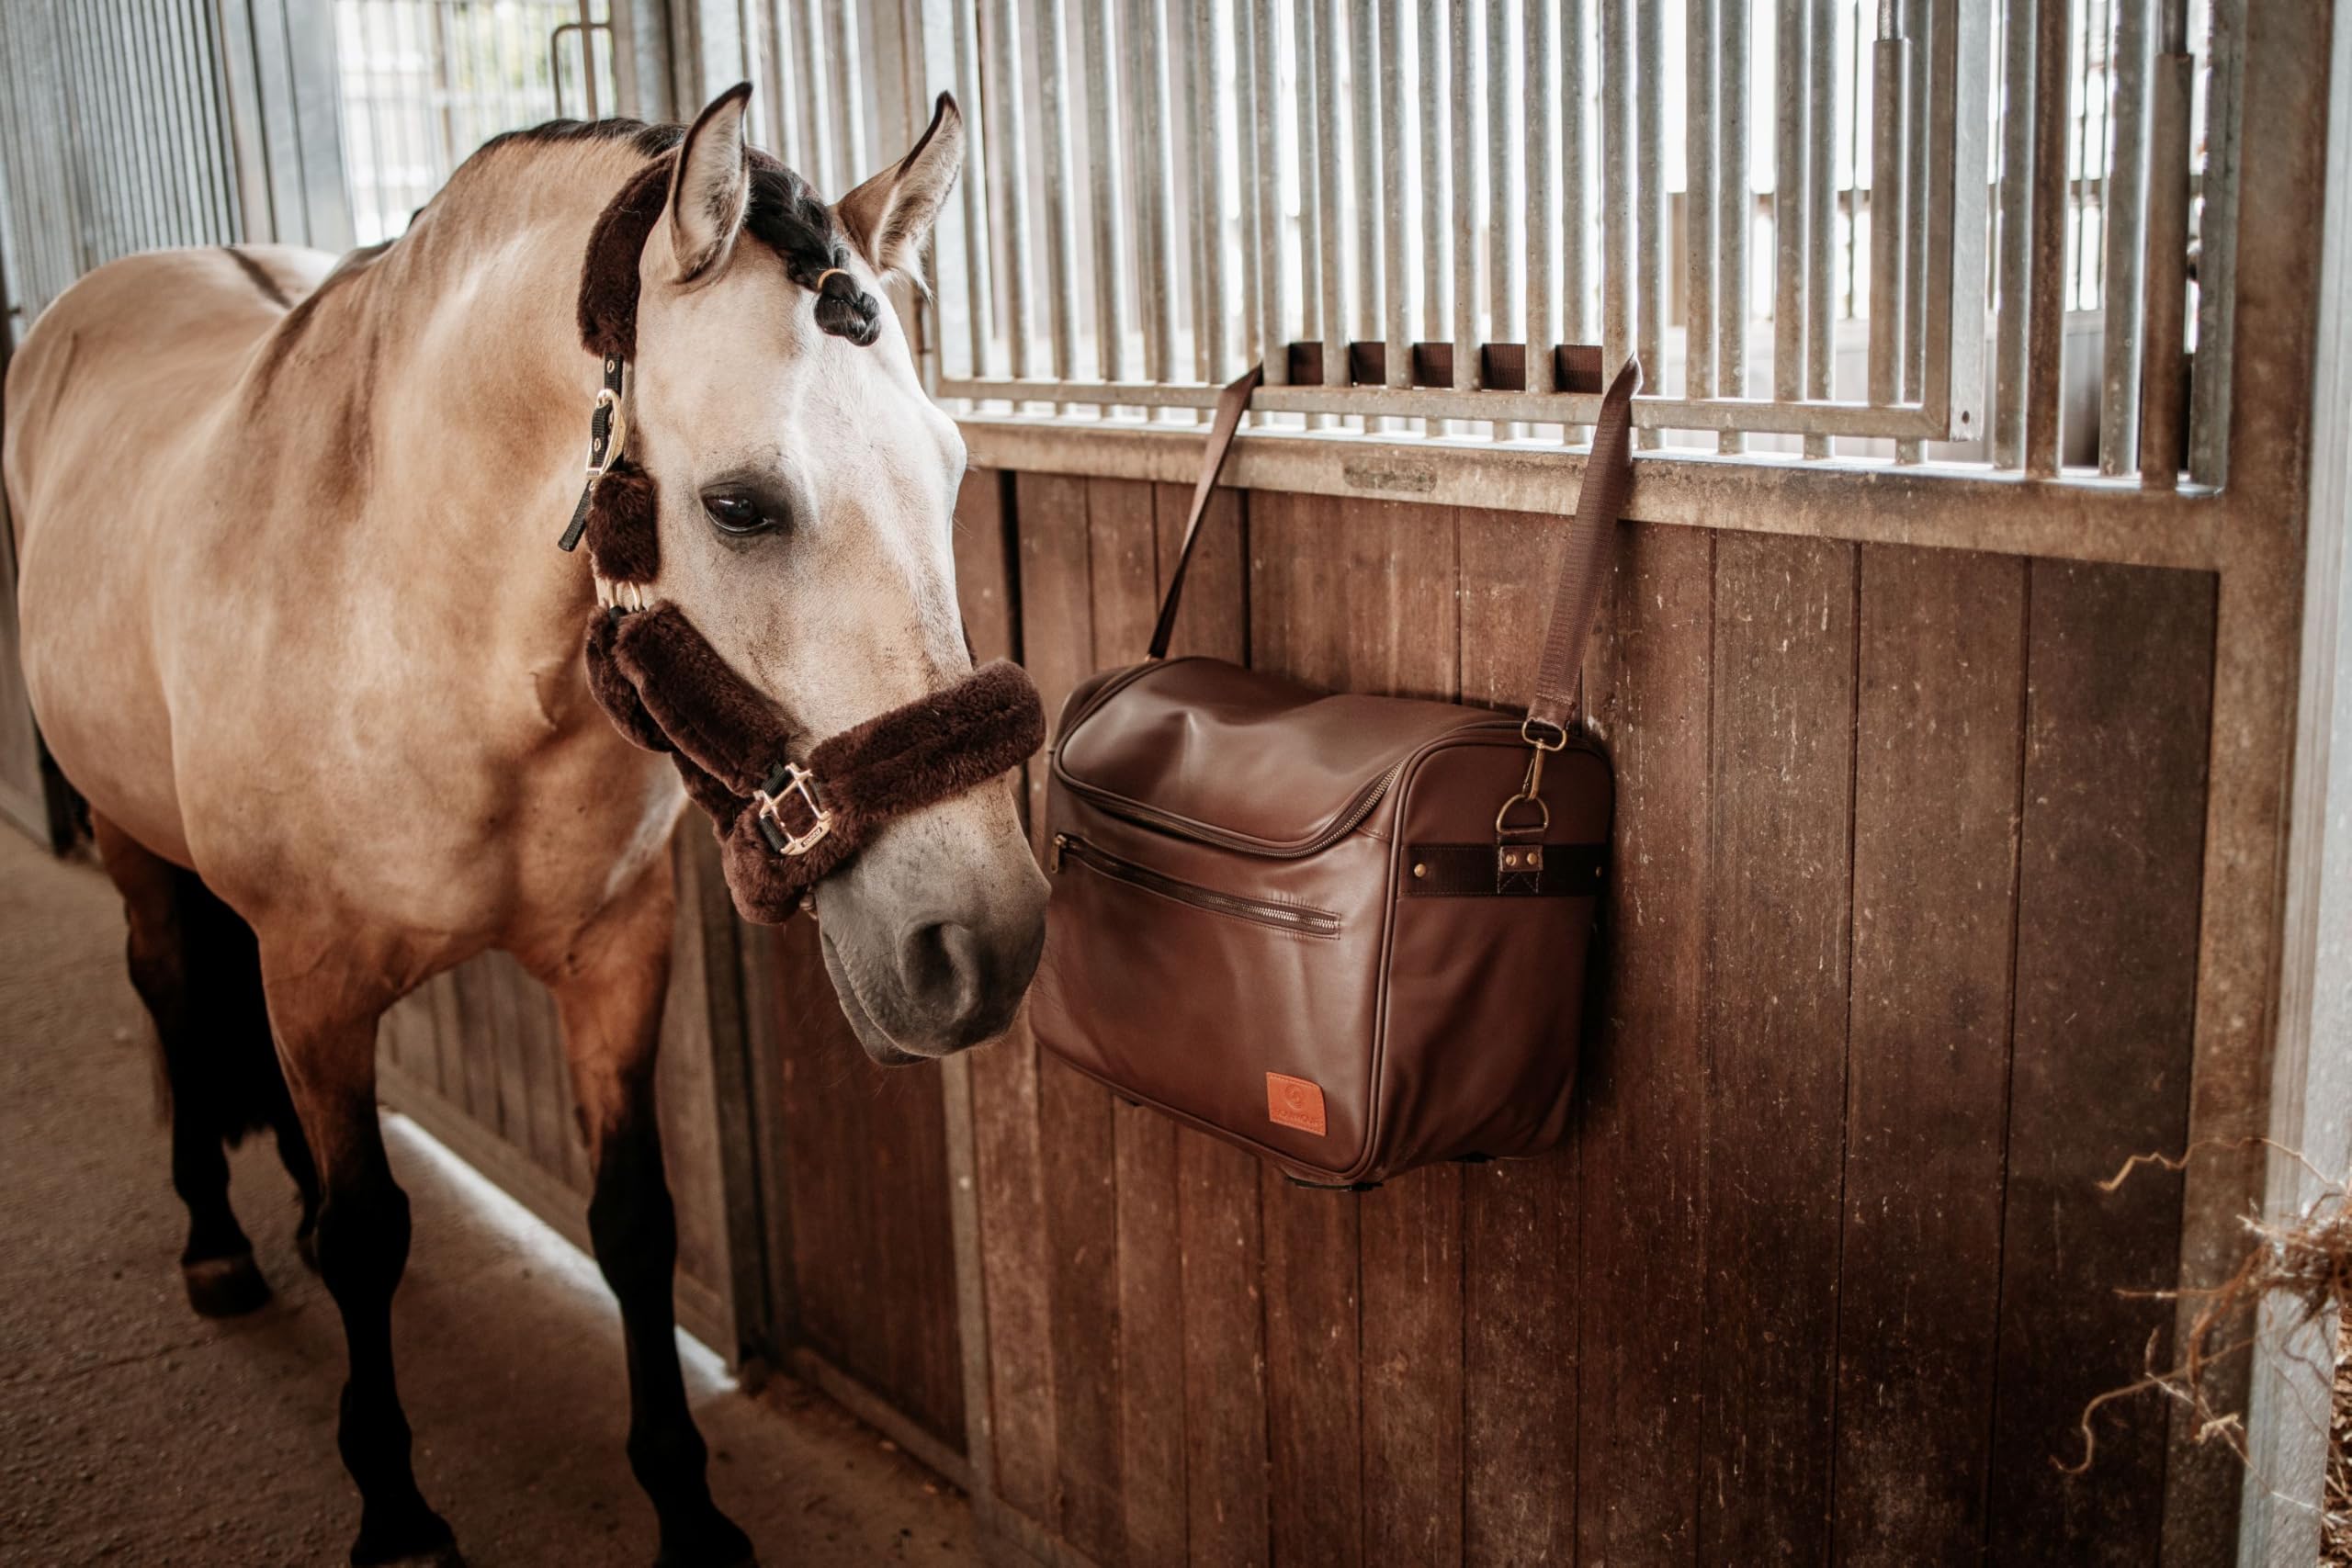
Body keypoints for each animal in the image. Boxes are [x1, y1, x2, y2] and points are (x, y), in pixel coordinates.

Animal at [1, 83, 1046, 1567]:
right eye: (740, 504)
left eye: (951, 468)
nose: (984, 938)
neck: (416, 621)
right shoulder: (315, 980)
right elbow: (374, 1237)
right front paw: (396, 1511)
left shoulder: (615, 954)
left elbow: (634, 1224)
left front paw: (688, 1505)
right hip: (133, 839)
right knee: (171, 992)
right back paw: (215, 1239)